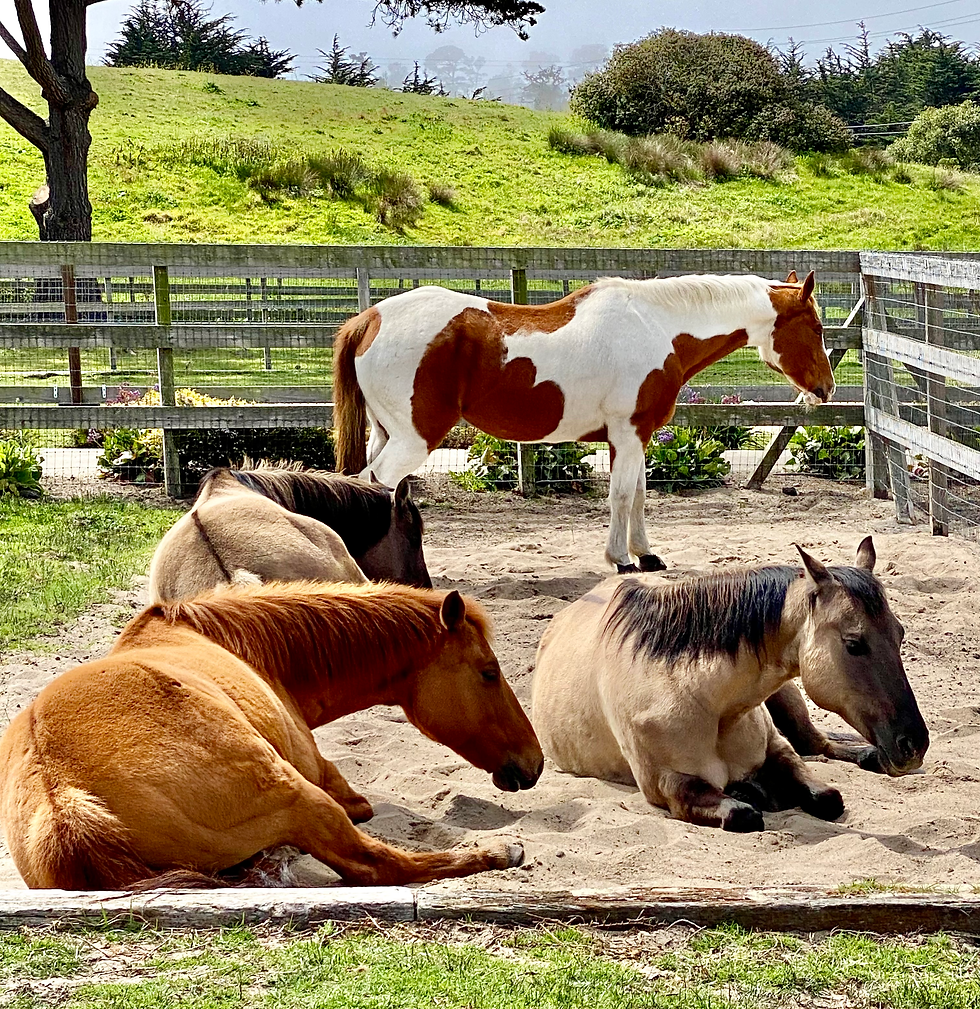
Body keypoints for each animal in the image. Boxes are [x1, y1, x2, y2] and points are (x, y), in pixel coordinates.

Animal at [0, 581, 544, 889]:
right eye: (489, 672)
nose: (534, 762)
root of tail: (63, 805)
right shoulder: (330, 784)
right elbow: (364, 812)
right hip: (299, 795)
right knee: (379, 865)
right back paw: (497, 854)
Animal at [334, 271, 835, 572]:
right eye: (815, 328)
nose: (826, 389)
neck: (657, 326)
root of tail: (369, 318)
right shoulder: (628, 433)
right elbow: (621, 496)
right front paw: (621, 560)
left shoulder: (635, 436)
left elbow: (639, 496)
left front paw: (646, 555)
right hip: (414, 439)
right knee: (374, 486)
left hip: (386, 434)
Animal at [530, 537, 928, 831]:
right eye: (853, 643)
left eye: (900, 633)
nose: (913, 744)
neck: (707, 701)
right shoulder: (665, 782)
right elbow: (742, 814)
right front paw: (753, 794)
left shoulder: (778, 748)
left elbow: (827, 795)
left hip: (789, 701)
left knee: (818, 743)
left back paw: (867, 755)